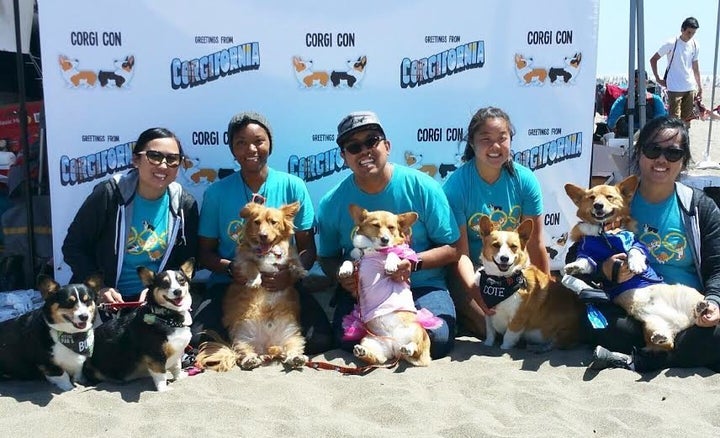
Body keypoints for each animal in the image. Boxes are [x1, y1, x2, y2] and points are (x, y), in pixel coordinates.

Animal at [197, 202, 306, 370]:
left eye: (273, 222)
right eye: (257, 222)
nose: (263, 235)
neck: (269, 252)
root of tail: (268, 347)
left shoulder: (289, 256)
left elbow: (294, 262)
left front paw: (299, 271)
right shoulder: (241, 261)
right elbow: (251, 265)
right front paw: (255, 280)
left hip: (292, 336)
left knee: (291, 351)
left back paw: (296, 359)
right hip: (242, 338)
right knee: (244, 353)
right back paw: (250, 360)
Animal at [476, 215, 584, 350]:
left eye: (513, 246)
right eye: (495, 245)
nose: (504, 258)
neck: (501, 280)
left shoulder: (517, 319)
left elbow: (508, 337)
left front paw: (504, 348)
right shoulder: (488, 313)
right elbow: (490, 332)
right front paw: (488, 344)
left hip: (561, 334)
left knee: (554, 344)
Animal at [564, 175, 708, 350]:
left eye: (609, 197)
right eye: (591, 198)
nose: (598, 205)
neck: (604, 231)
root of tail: (683, 323)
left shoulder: (637, 244)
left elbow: (634, 251)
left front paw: (636, 265)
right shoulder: (587, 251)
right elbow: (583, 260)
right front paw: (574, 267)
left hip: (689, 293)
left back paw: (701, 308)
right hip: (652, 324)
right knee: (667, 343)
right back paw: (662, 336)